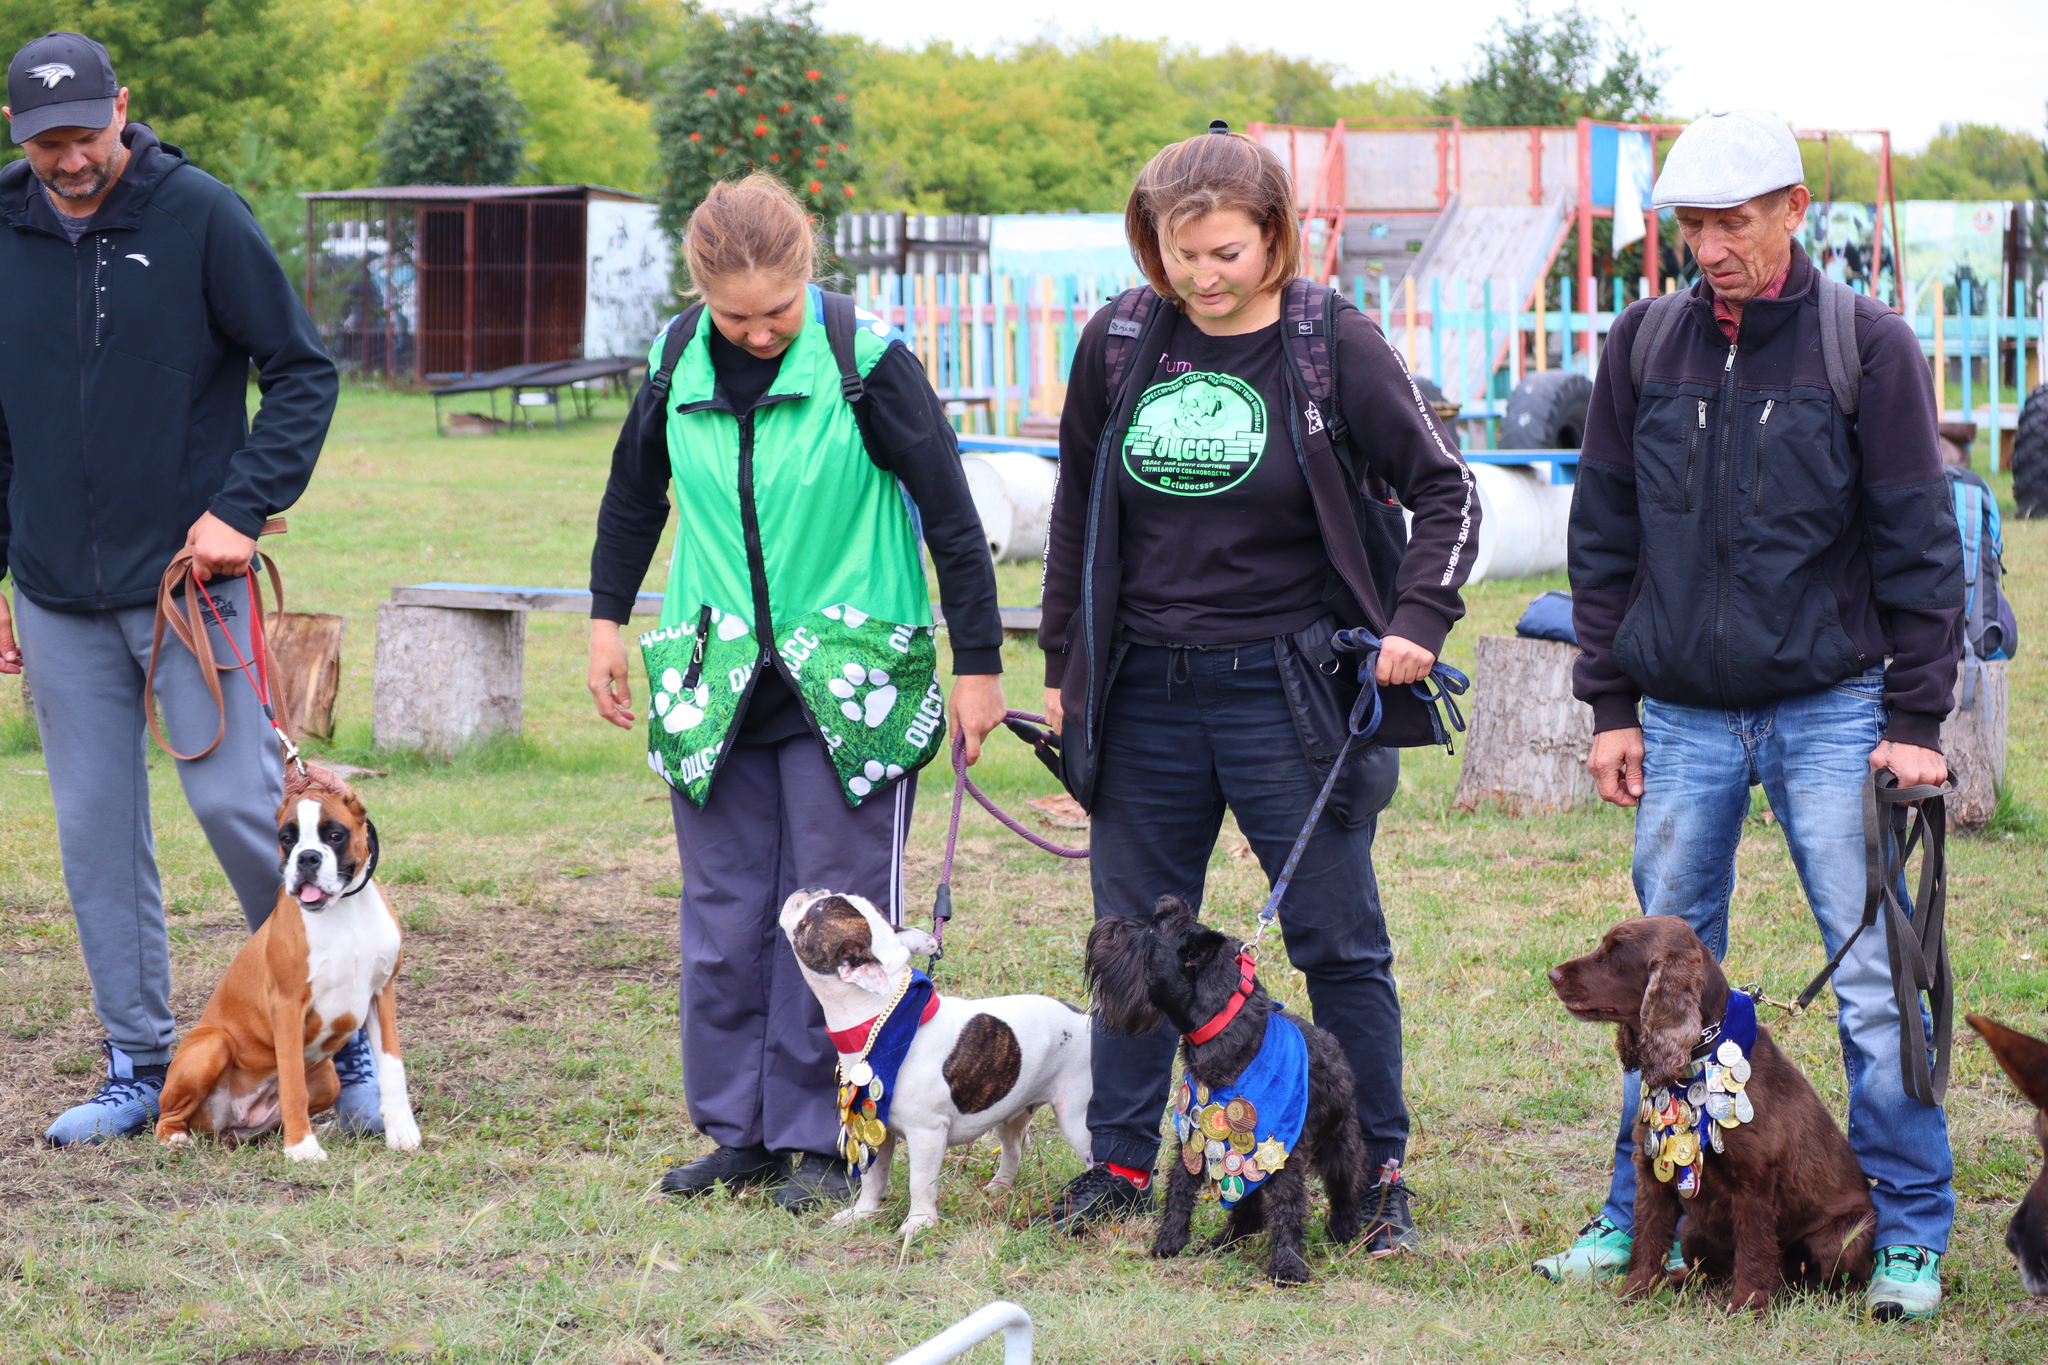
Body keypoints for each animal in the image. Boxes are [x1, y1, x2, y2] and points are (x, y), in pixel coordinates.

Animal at [156, 765, 423, 1162]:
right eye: (287, 839)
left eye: (335, 835)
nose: (307, 857)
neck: (344, 912)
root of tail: (230, 1124)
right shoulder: (288, 1005)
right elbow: (293, 1081)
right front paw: (302, 1148)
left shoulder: (381, 994)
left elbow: (392, 1067)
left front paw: (402, 1131)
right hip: (213, 1044)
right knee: (167, 1113)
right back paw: (175, 1137)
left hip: (328, 1078)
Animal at [778, 892, 1097, 1236]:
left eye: (820, 909)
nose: (812, 890)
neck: (880, 1019)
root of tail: (1085, 1020)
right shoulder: (875, 1124)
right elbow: (872, 1177)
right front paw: (863, 1214)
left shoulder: (927, 1133)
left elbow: (920, 1182)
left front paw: (919, 1223)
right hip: (1010, 1113)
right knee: (1014, 1148)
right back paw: (1000, 1188)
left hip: (1077, 1117)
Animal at [1089, 892, 1359, 1285]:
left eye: (1150, 934)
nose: (1107, 925)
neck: (1223, 1024)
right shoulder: (1192, 1135)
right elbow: (1180, 1188)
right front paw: (1169, 1241)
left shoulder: (1285, 1152)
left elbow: (1289, 1206)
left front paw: (1288, 1266)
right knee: (1249, 1208)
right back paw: (1224, 1240)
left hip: (1340, 1144)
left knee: (1345, 1187)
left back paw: (1346, 1230)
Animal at [1548, 916, 1875, 1309]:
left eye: (1613, 956)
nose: (1552, 974)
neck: (1695, 1060)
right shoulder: (1653, 1172)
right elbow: (1648, 1238)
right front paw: (1634, 1293)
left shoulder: (1754, 1182)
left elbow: (1754, 1248)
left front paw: (1747, 1306)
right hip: (1692, 1228)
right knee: (1706, 1273)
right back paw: (1676, 1280)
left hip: (1842, 1237)